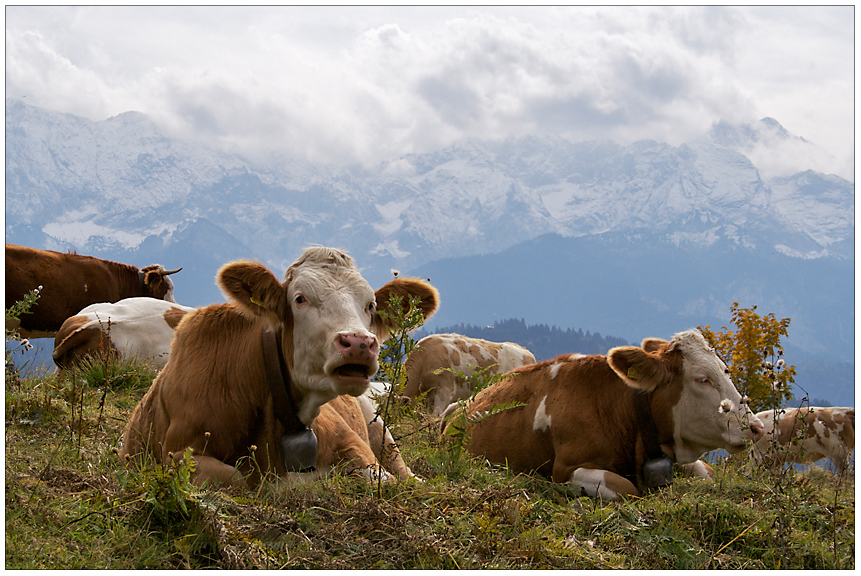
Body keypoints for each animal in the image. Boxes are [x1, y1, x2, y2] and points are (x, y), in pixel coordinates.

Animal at [118, 245, 440, 488]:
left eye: (371, 305)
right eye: (300, 299)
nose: (359, 343)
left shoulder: (356, 448)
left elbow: (380, 479)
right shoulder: (177, 452)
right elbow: (234, 478)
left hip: (379, 429)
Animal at [446, 328, 764, 500]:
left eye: (725, 370)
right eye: (703, 379)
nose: (756, 428)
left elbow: (705, 472)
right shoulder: (566, 469)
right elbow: (626, 488)